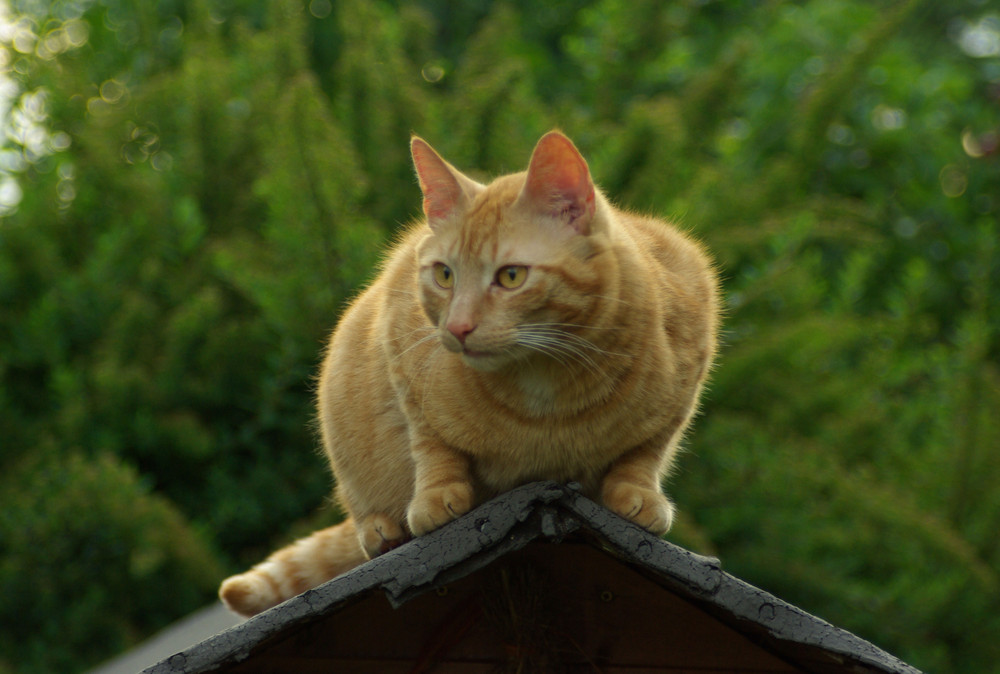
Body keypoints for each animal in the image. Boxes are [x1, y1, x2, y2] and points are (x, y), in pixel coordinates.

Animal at [219, 130, 720, 616]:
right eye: (444, 275)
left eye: (511, 276)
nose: (457, 327)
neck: (547, 388)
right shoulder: (400, 349)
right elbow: (430, 441)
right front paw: (436, 495)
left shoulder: (693, 340)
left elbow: (648, 450)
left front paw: (637, 494)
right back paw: (380, 528)